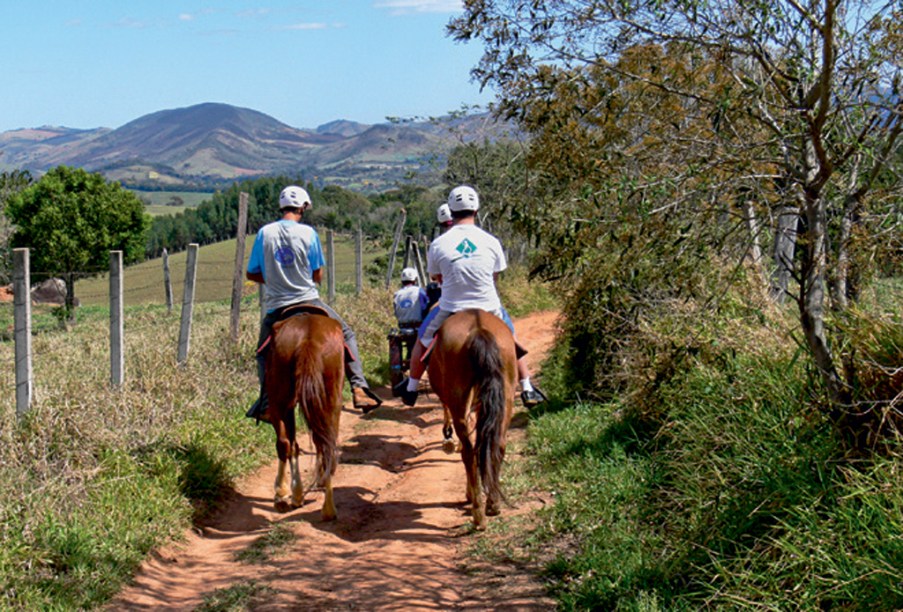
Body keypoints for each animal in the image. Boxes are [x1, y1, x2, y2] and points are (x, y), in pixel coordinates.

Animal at [264, 308, 346, 520]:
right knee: (325, 443)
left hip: (280, 401)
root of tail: (307, 341)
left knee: (286, 443)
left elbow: (293, 445)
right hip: (331, 399)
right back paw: (326, 506)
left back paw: (285, 496)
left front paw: (294, 493)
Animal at [430, 308, 520, 528]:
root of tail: (479, 330)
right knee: (498, 444)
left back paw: (477, 512)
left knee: (469, 452)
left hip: (459, 400)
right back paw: (493, 504)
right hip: (506, 394)